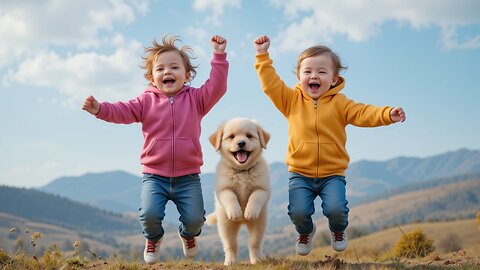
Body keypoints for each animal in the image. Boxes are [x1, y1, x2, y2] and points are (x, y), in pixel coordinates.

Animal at [205, 118, 270, 266]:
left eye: (249, 136)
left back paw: (257, 259)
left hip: (259, 224)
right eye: (231, 137)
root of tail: (242, 222)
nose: (241, 143)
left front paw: (250, 211)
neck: (242, 170)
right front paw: (236, 211)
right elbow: (230, 197)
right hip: (226, 225)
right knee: (231, 245)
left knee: (254, 243)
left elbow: (256, 196)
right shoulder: (223, 189)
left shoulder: (263, 188)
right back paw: (230, 261)